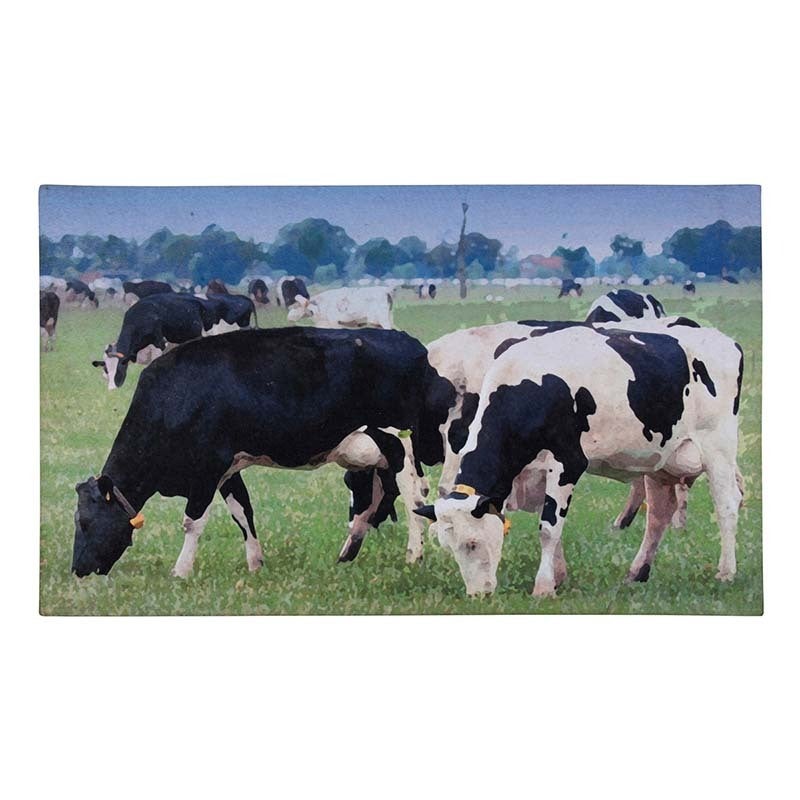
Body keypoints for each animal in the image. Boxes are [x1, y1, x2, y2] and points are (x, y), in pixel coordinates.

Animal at [72, 327, 454, 578]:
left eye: (84, 522)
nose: (78, 570)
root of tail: (409, 342)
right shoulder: (229, 468)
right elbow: (243, 513)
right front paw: (255, 563)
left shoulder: (208, 468)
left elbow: (193, 521)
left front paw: (180, 571)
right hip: (368, 454)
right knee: (372, 498)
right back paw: (346, 556)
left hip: (396, 440)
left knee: (412, 495)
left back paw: (413, 556)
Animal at [415, 321, 744, 597]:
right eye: (449, 547)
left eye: (472, 543)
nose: (478, 595)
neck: (530, 386)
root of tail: (723, 339)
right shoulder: (534, 471)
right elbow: (550, 523)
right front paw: (557, 577)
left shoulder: (568, 462)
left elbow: (549, 528)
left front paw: (543, 587)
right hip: (661, 461)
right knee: (659, 516)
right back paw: (637, 572)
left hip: (718, 448)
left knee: (727, 505)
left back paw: (726, 572)